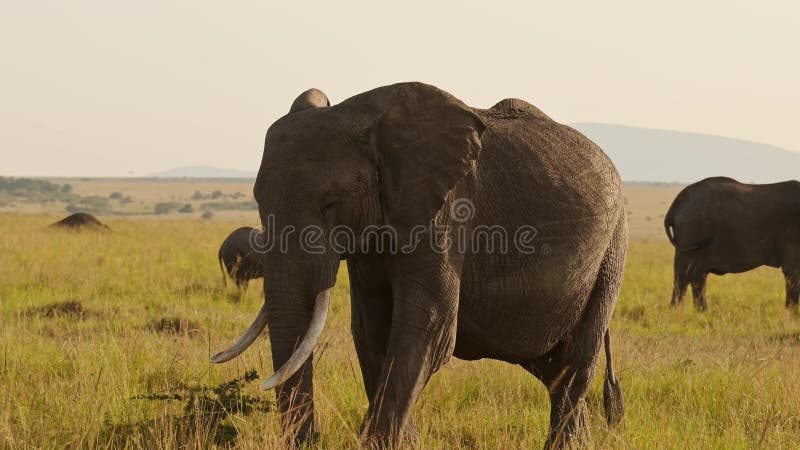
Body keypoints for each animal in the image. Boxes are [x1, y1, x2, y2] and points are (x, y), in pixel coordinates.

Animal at [209, 82, 628, 448]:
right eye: (258, 201)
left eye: (331, 205)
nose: (314, 441)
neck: (359, 117)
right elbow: (371, 330)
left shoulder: (446, 211)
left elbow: (427, 326)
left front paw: (380, 443)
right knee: (551, 370)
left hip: (612, 252)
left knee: (574, 370)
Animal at [664, 176, 800, 310]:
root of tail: (674, 207)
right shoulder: (791, 234)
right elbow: (793, 272)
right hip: (690, 233)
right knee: (683, 278)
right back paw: (677, 312)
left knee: (697, 278)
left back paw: (702, 312)